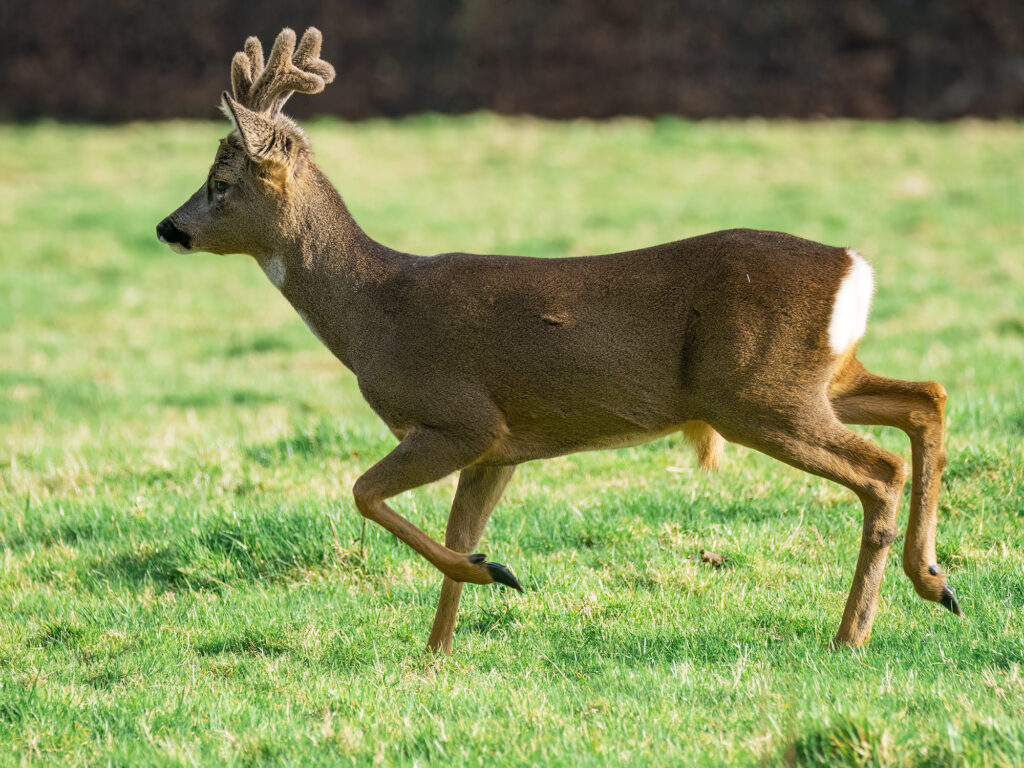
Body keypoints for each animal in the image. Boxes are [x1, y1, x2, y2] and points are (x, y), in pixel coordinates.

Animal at [156, 27, 961, 655]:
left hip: (757, 394)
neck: (373, 312)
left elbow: (363, 493)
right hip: (818, 379)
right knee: (926, 398)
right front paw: (439, 649)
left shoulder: (459, 417)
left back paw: (852, 633)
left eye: (220, 182)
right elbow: (456, 532)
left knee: (882, 467)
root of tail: (853, 268)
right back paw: (935, 581)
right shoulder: (500, 447)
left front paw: (496, 572)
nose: (169, 227)